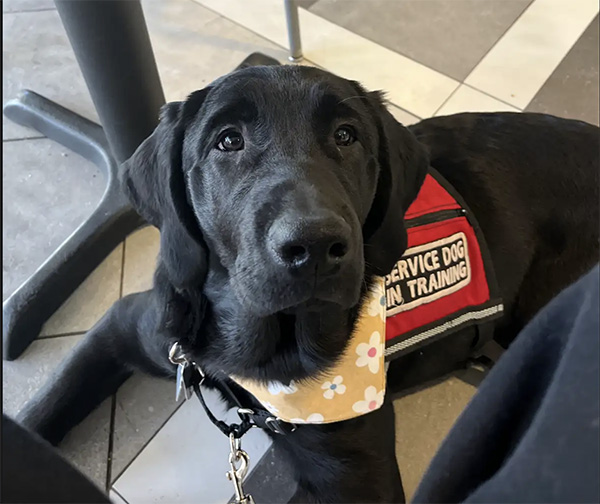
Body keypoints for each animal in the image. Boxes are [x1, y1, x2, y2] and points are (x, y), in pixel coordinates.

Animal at [16, 65, 596, 502]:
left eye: (346, 135)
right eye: (228, 141)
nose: (315, 246)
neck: (247, 351)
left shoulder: (355, 478)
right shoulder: (126, 330)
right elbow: (39, 413)